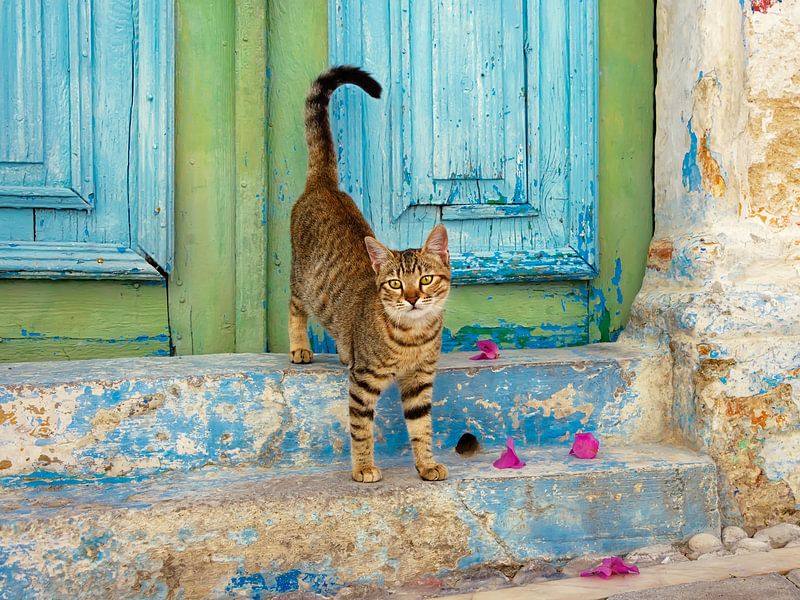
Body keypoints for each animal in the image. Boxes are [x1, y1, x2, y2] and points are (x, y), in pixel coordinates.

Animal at [288, 65, 450, 482]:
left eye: (425, 280)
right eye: (394, 284)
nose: (412, 298)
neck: (413, 338)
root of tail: (325, 185)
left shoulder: (420, 381)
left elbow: (421, 427)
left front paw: (426, 464)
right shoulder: (363, 381)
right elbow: (361, 426)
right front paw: (363, 467)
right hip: (302, 278)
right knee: (294, 307)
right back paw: (299, 347)